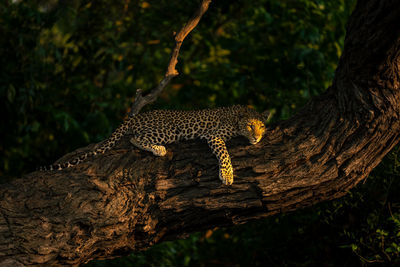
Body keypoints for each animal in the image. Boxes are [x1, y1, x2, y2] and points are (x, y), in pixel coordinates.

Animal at [40, 105, 268, 185]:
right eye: (250, 126)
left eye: (261, 127)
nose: (257, 138)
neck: (237, 117)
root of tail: (136, 117)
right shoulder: (214, 135)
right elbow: (224, 155)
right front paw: (227, 175)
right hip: (168, 131)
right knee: (135, 138)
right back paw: (159, 150)